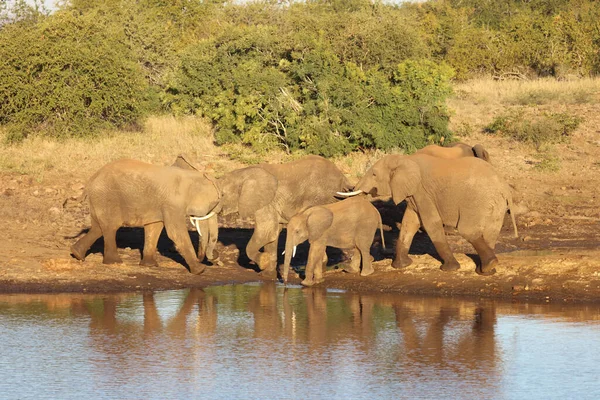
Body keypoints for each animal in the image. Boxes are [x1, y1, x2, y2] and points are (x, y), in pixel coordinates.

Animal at [69, 159, 220, 276]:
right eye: (213, 203)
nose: (215, 257)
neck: (191, 176)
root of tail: (91, 179)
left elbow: (155, 227)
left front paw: (150, 265)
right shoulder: (172, 203)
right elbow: (175, 232)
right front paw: (200, 270)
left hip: (98, 198)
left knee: (98, 228)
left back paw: (77, 254)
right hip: (106, 197)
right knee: (110, 227)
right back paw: (114, 262)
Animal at [219, 155, 352, 276]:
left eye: (222, 195)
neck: (243, 173)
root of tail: (343, 177)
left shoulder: (266, 202)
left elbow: (266, 232)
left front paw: (263, 262)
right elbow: (273, 234)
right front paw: (267, 274)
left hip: (323, 198)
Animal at [340, 153, 516, 276]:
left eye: (374, 175)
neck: (405, 159)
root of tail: (505, 188)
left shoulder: (422, 191)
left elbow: (431, 222)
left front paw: (450, 269)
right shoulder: (414, 194)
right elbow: (409, 223)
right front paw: (401, 266)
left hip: (477, 200)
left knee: (468, 230)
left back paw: (488, 266)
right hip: (496, 204)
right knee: (490, 233)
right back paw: (487, 270)